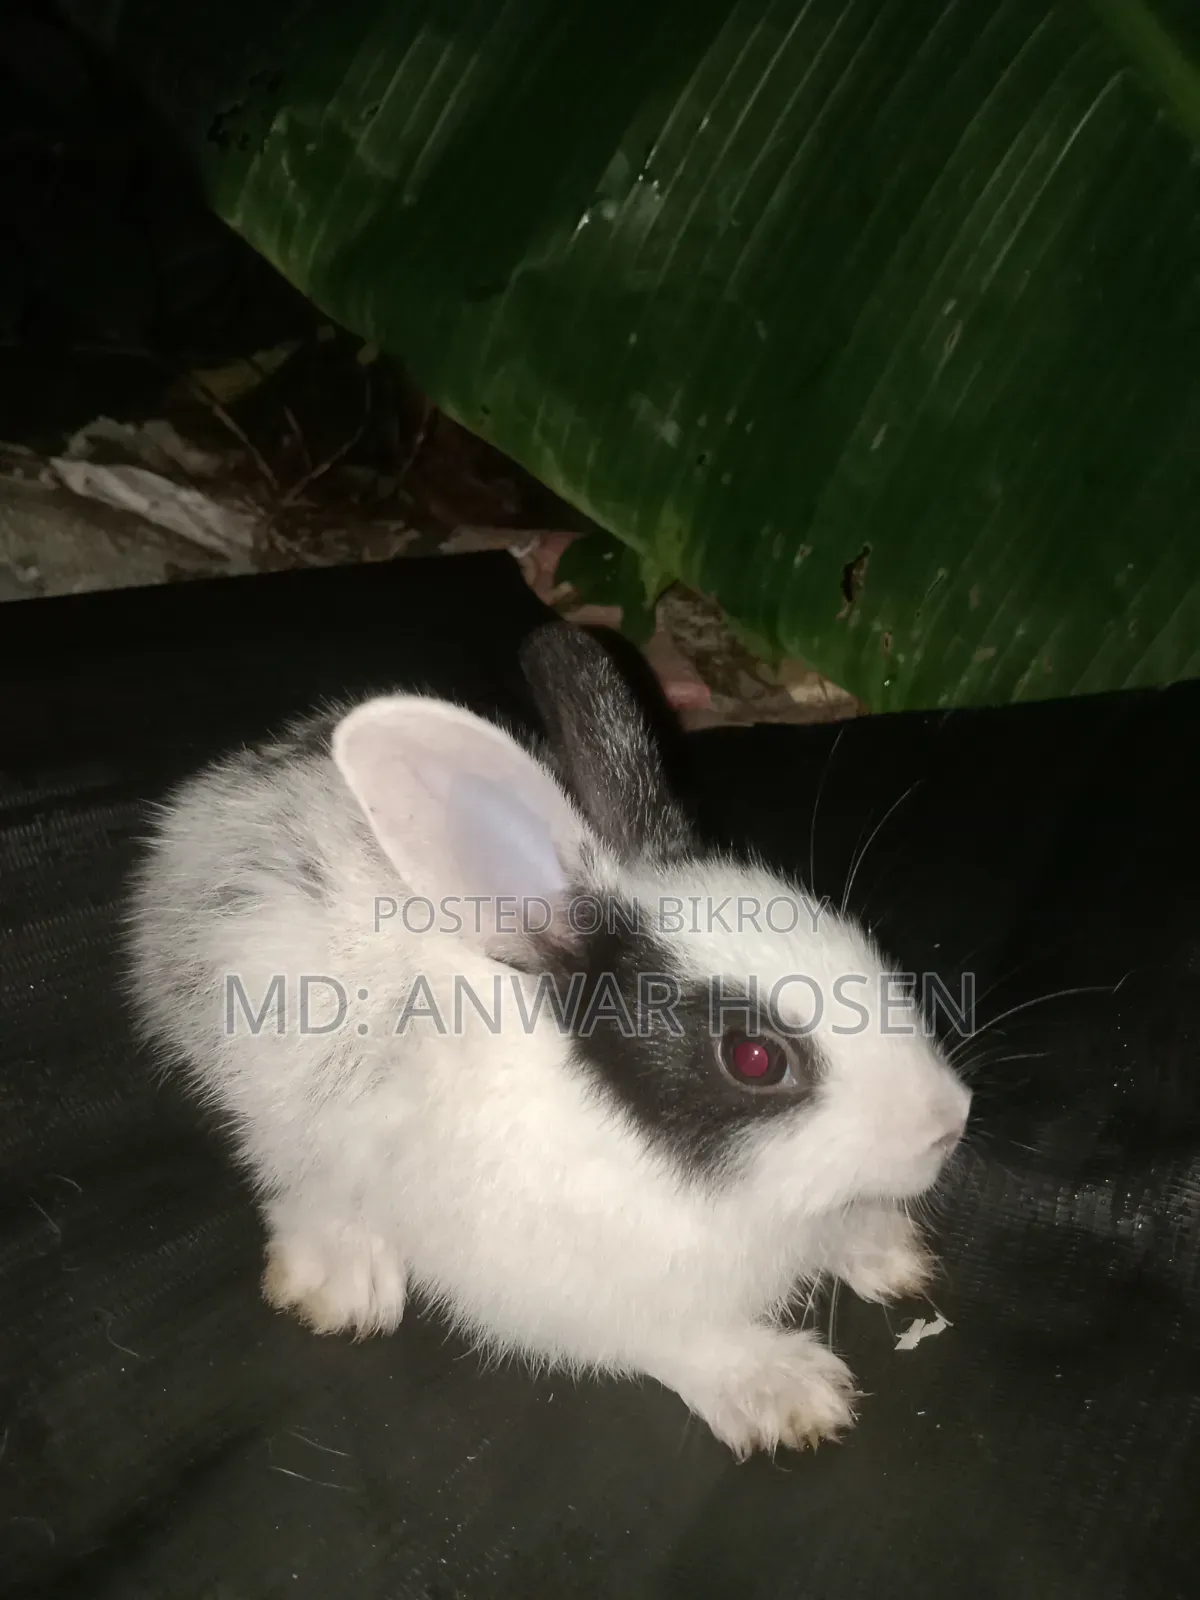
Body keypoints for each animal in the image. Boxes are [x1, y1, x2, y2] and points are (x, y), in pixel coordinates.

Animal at [124, 619, 971, 1459]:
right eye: (755, 1058)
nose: (949, 1121)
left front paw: (886, 1250)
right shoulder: (566, 1294)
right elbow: (682, 1338)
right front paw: (785, 1391)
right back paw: (341, 1274)